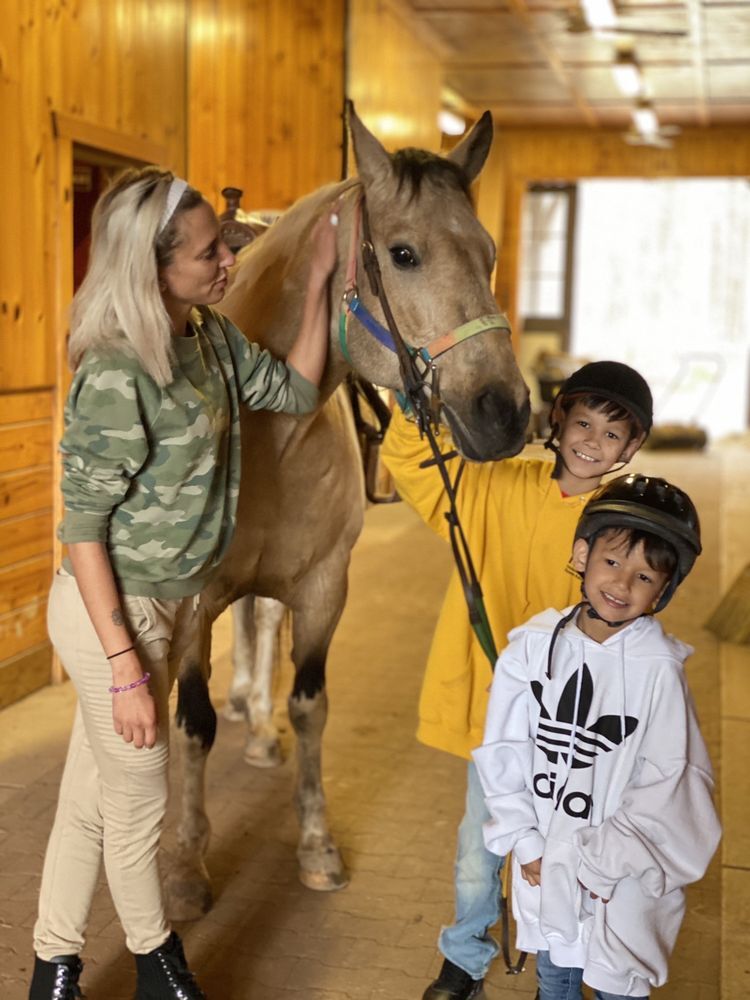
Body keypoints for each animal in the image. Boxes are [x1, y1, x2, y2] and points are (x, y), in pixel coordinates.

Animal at [167, 105, 532, 916]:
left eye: (489, 253)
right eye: (403, 254)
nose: (504, 411)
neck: (271, 426)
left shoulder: (324, 588)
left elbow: (310, 704)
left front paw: (316, 845)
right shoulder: (192, 600)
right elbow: (193, 723)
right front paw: (184, 866)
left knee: (260, 626)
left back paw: (259, 724)